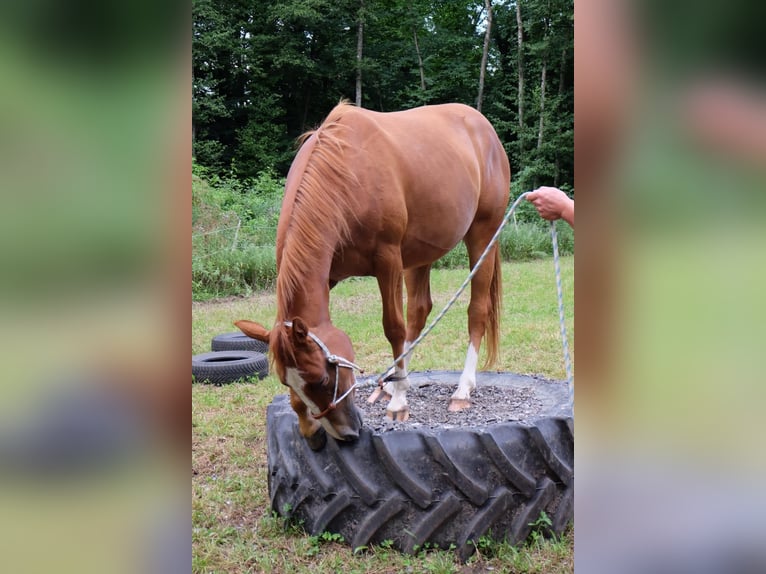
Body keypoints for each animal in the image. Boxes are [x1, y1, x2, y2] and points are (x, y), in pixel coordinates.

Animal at [235, 101, 510, 449]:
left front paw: (400, 403)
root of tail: (483, 127)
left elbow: (393, 327)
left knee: (476, 311)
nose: (338, 434)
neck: (345, 173)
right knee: (419, 312)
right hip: (420, 254)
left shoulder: (388, 260)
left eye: (322, 377)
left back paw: (461, 390)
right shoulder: (328, 276)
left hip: (482, 236)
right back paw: (391, 383)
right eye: (286, 382)